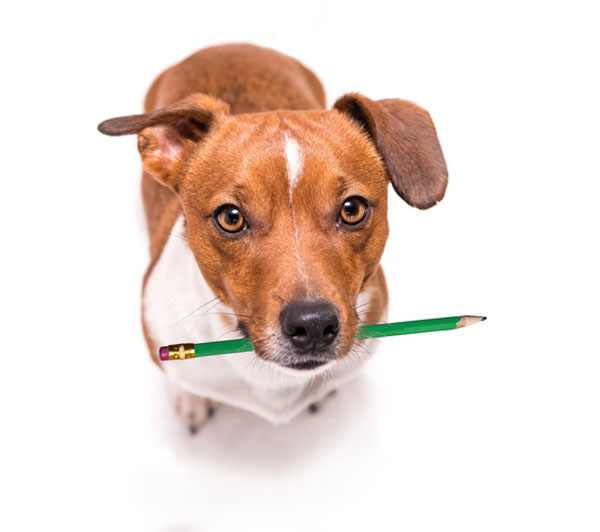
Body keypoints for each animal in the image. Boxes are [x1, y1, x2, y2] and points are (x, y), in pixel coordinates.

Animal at [97, 42, 446, 432]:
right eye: (231, 218)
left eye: (352, 209)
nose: (313, 324)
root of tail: (223, 47)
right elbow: (181, 377)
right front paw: (191, 398)